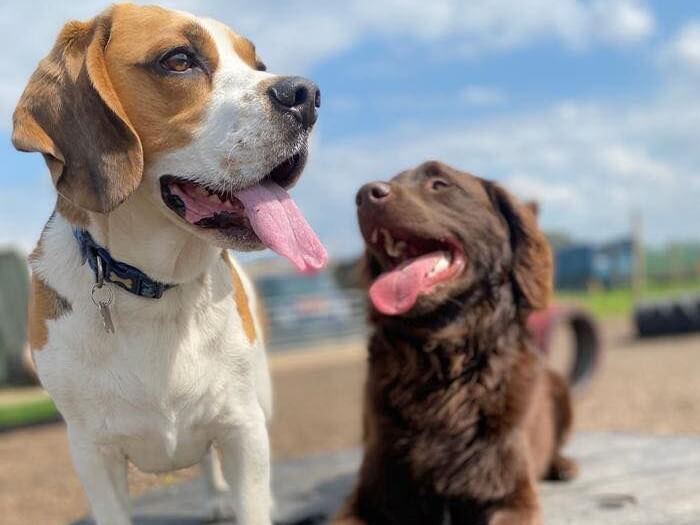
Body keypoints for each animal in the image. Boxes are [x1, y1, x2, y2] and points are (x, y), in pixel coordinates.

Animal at [336, 161, 576, 524]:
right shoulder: (368, 496)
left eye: (440, 183)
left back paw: (562, 465)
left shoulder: (513, 496)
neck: (445, 365)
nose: (365, 195)